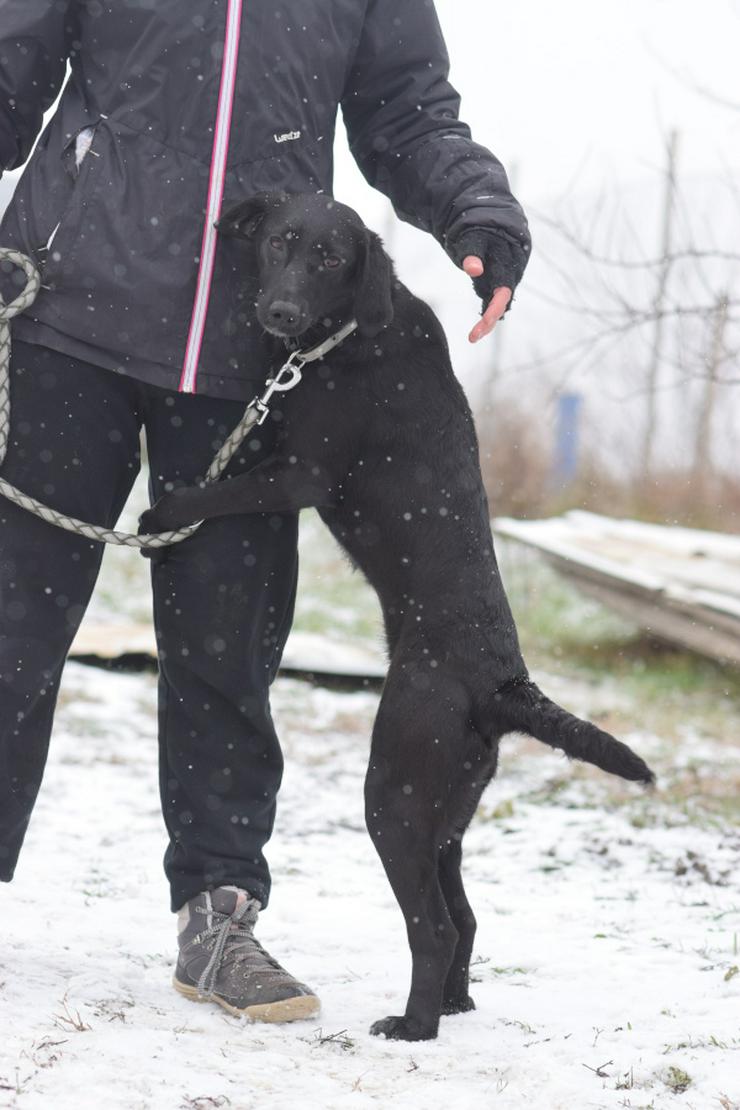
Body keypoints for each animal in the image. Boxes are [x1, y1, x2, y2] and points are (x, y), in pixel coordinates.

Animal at [142, 193, 656, 1038]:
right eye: (281, 243)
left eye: (328, 258)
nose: (278, 311)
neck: (352, 329)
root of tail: (505, 684)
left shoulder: (299, 472)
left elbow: (224, 488)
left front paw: (163, 515)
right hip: (447, 812)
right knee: (465, 917)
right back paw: (452, 1003)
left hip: (396, 793)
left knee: (436, 925)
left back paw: (413, 1026)